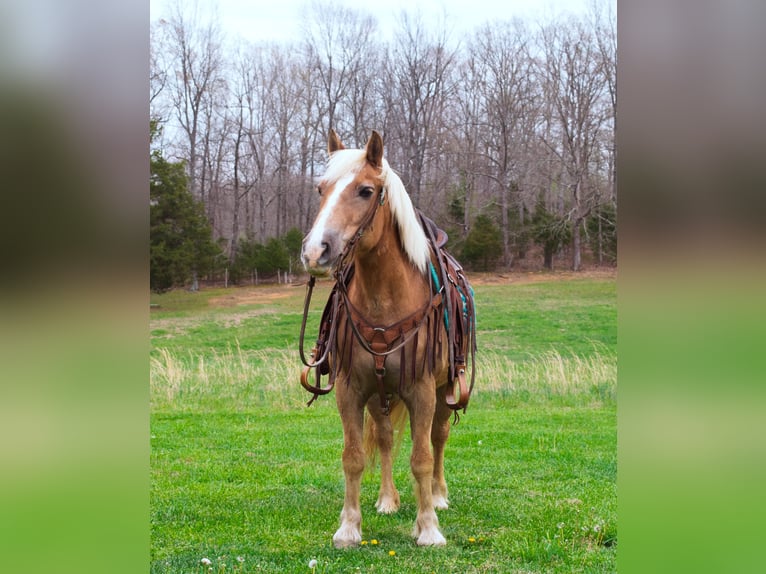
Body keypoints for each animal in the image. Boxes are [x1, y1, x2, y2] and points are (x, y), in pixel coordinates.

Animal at [298, 129, 474, 548]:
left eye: (365, 190)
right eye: (320, 189)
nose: (315, 252)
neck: (385, 300)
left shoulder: (422, 389)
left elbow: (422, 457)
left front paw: (428, 527)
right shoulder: (351, 388)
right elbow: (354, 456)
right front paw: (349, 527)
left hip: (444, 387)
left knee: (439, 437)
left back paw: (438, 496)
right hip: (381, 393)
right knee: (385, 437)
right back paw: (387, 499)